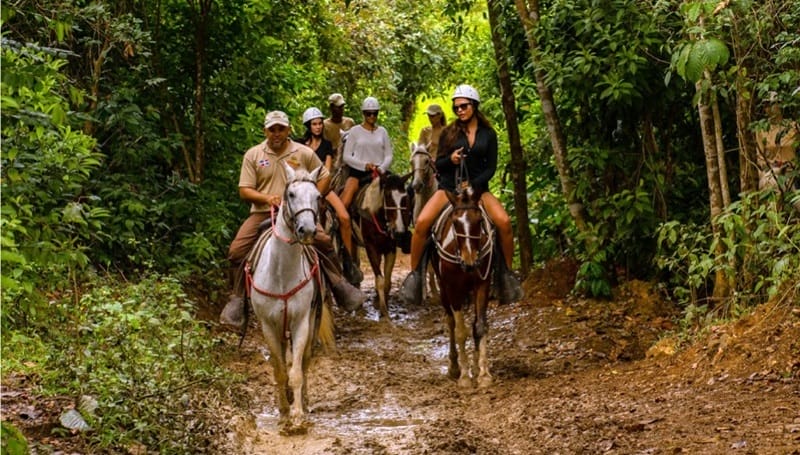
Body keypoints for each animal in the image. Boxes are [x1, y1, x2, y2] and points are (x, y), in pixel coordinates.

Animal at [252, 163, 336, 434]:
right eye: (291, 194)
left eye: (318, 196)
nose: (307, 230)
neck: (281, 273)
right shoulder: (268, 325)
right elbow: (279, 371)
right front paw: (283, 414)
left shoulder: (301, 322)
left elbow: (297, 370)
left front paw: (298, 417)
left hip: (312, 321)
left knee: (305, 361)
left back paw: (305, 404)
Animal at [354, 172, 410, 320]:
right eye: (389, 196)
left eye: (405, 198)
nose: (399, 232)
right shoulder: (371, 248)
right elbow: (380, 279)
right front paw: (383, 310)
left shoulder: (390, 248)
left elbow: (387, 281)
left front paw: (381, 303)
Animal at [432, 187, 494, 390]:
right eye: (455, 222)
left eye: (479, 221)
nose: (470, 262)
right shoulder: (452, 288)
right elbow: (460, 332)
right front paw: (465, 377)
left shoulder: (482, 283)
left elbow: (479, 326)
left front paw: (483, 374)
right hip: (443, 290)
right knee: (450, 322)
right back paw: (454, 367)